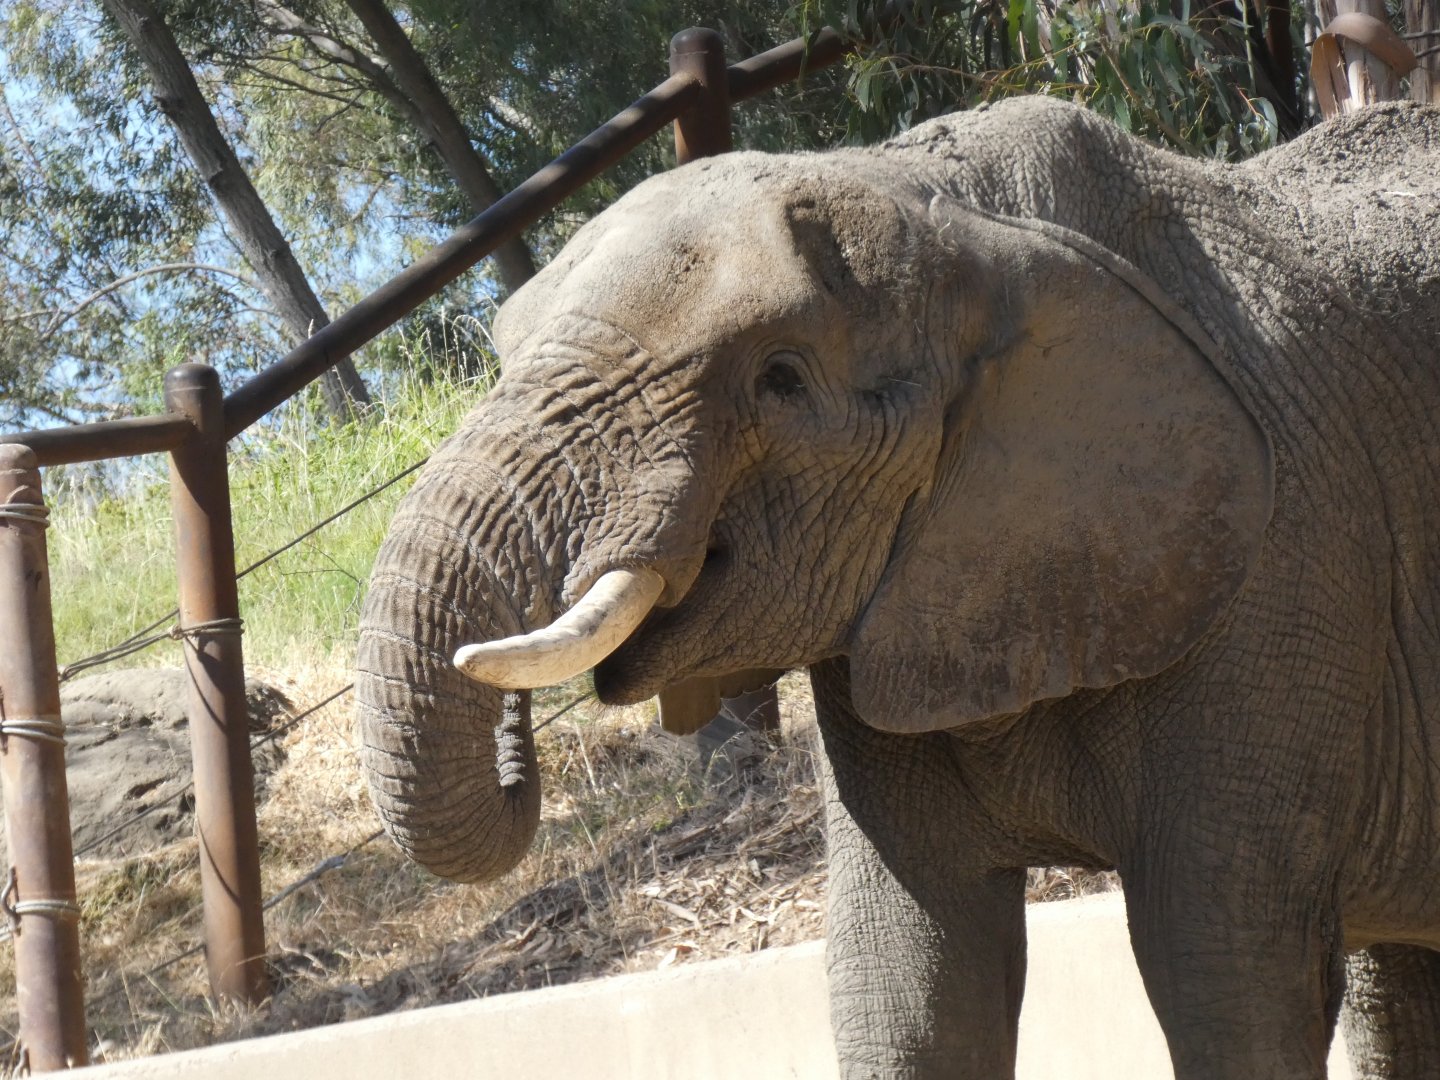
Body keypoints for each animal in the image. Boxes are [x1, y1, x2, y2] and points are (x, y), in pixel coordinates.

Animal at [356, 96, 1440, 1079]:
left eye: (781, 380)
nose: (514, 733)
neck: (958, 211)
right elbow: (910, 983)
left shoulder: (1285, 578)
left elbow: (1225, 977)